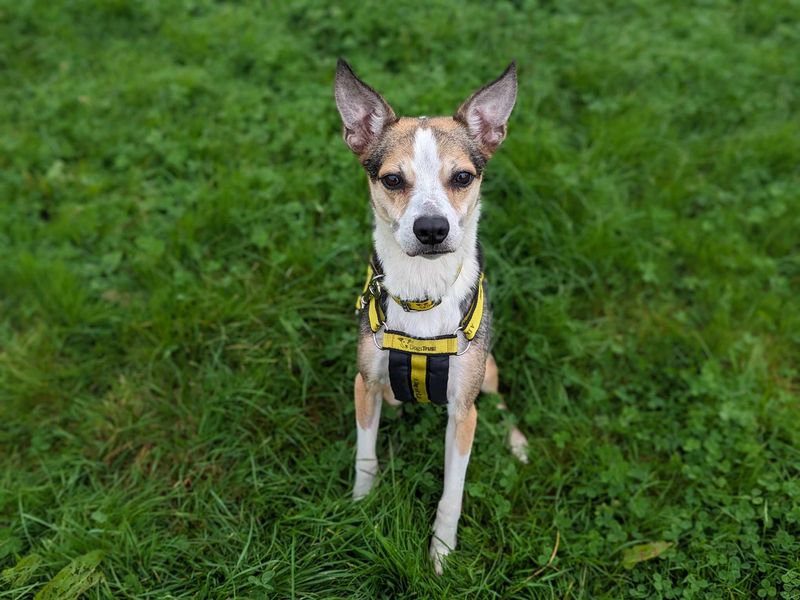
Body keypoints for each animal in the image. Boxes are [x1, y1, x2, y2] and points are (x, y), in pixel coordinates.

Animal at [334, 59, 528, 572]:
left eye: (461, 177)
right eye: (392, 180)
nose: (432, 229)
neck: (422, 293)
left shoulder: (463, 412)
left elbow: (453, 492)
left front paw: (441, 550)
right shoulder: (365, 383)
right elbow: (365, 457)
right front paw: (361, 507)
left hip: (488, 371)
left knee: (499, 401)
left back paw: (517, 442)